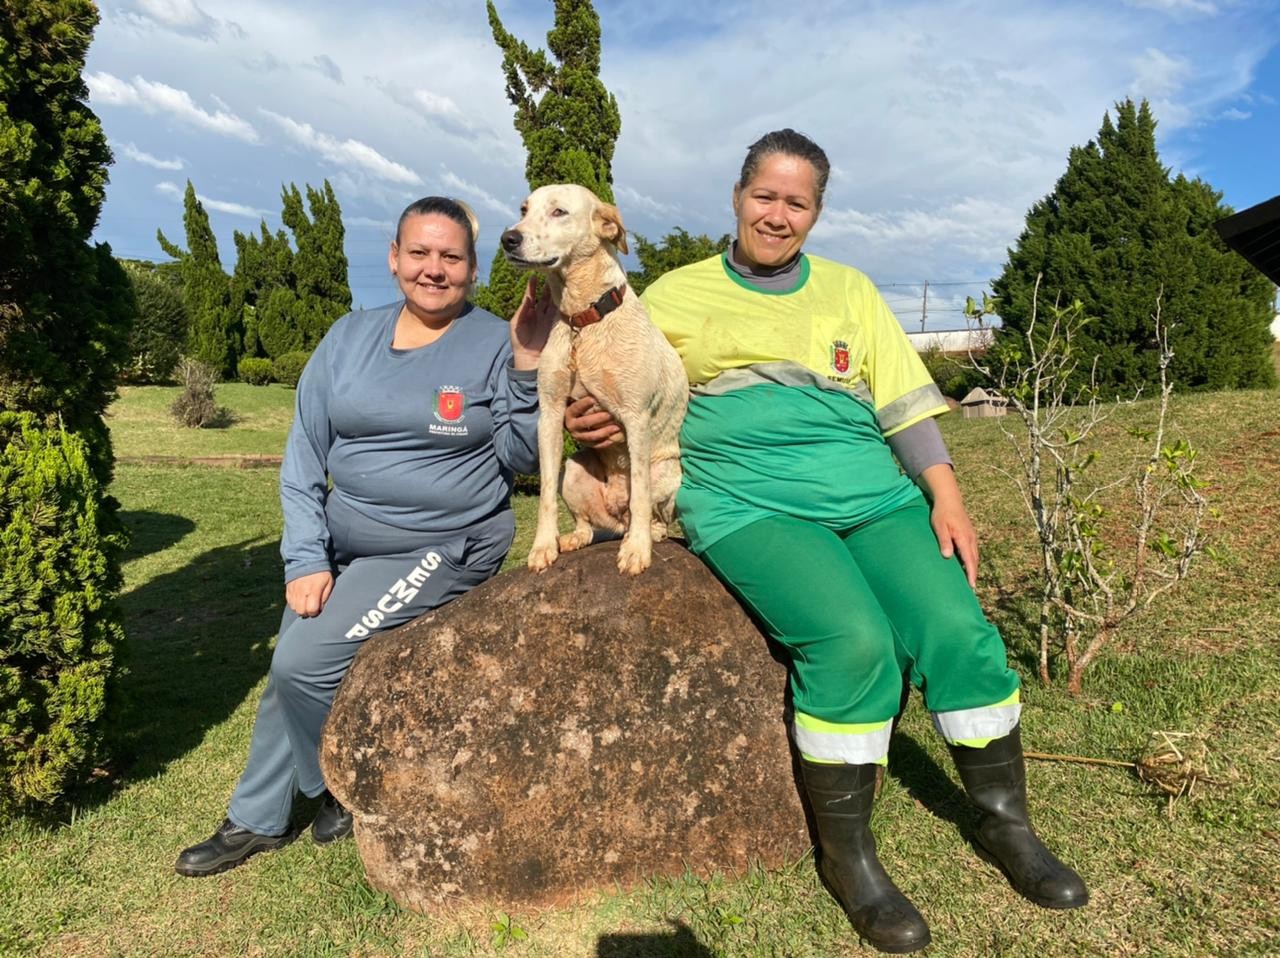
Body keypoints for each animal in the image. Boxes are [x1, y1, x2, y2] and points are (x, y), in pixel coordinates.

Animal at [499, 185, 691, 576]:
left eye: (559, 211)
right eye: (524, 209)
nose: (508, 238)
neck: (583, 321)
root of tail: (616, 520)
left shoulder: (636, 419)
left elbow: (641, 497)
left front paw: (637, 551)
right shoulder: (550, 414)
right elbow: (544, 496)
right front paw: (543, 547)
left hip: (666, 474)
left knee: (651, 515)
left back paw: (645, 534)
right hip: (573, 471)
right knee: (588, 524)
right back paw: (574, 538)